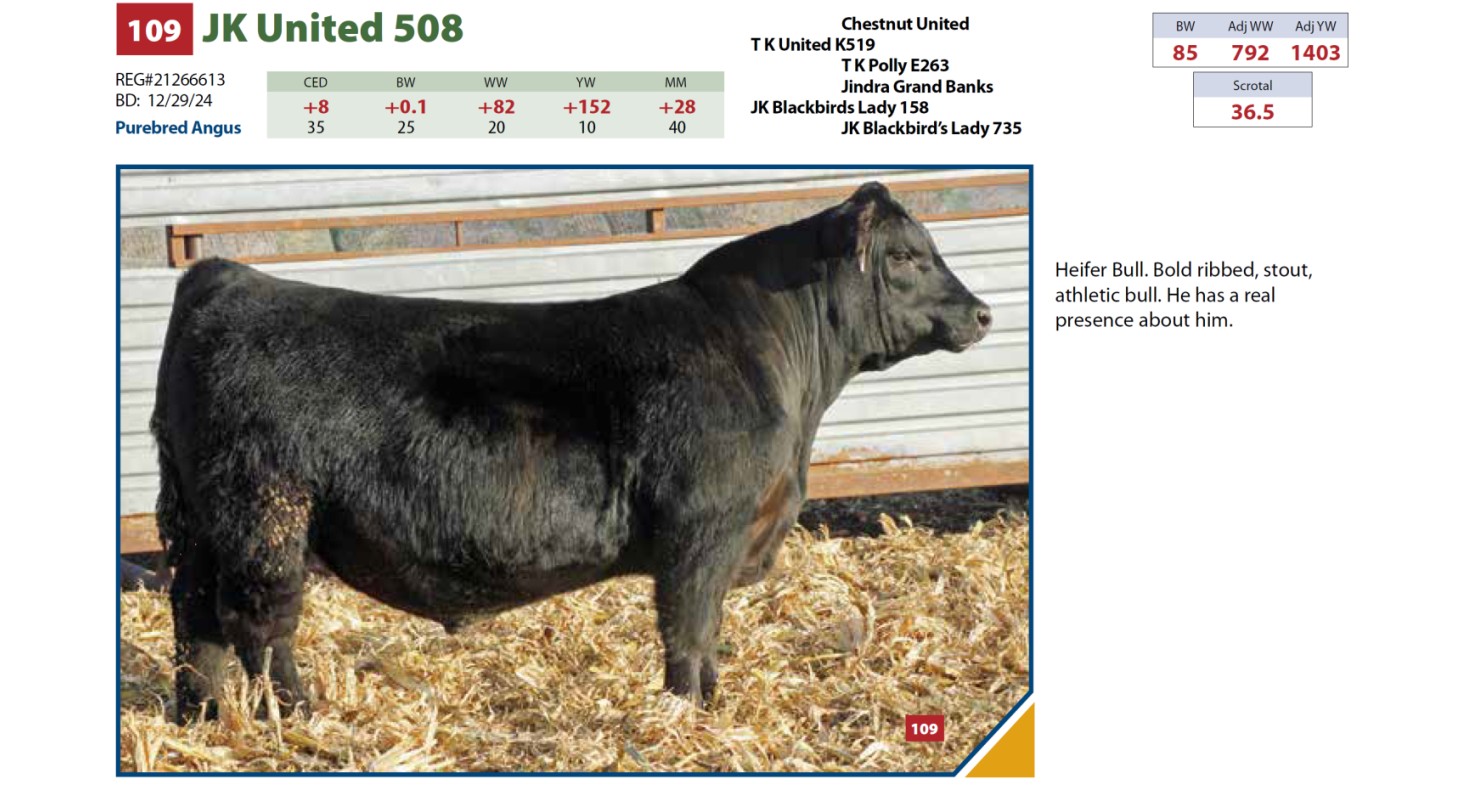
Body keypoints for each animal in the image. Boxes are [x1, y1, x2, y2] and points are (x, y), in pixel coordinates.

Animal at [151, 182, 992, 723]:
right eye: (907, 255)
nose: (983, 313)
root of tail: (227, 277)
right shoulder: (702, 533)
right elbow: (689, 628)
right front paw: (689, 716)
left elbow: (708, 631)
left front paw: (710, 705)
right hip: (266, 516)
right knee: (259, 623)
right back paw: (296, 718)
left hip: (201, 522)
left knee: (195, 616)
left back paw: (202, 716)